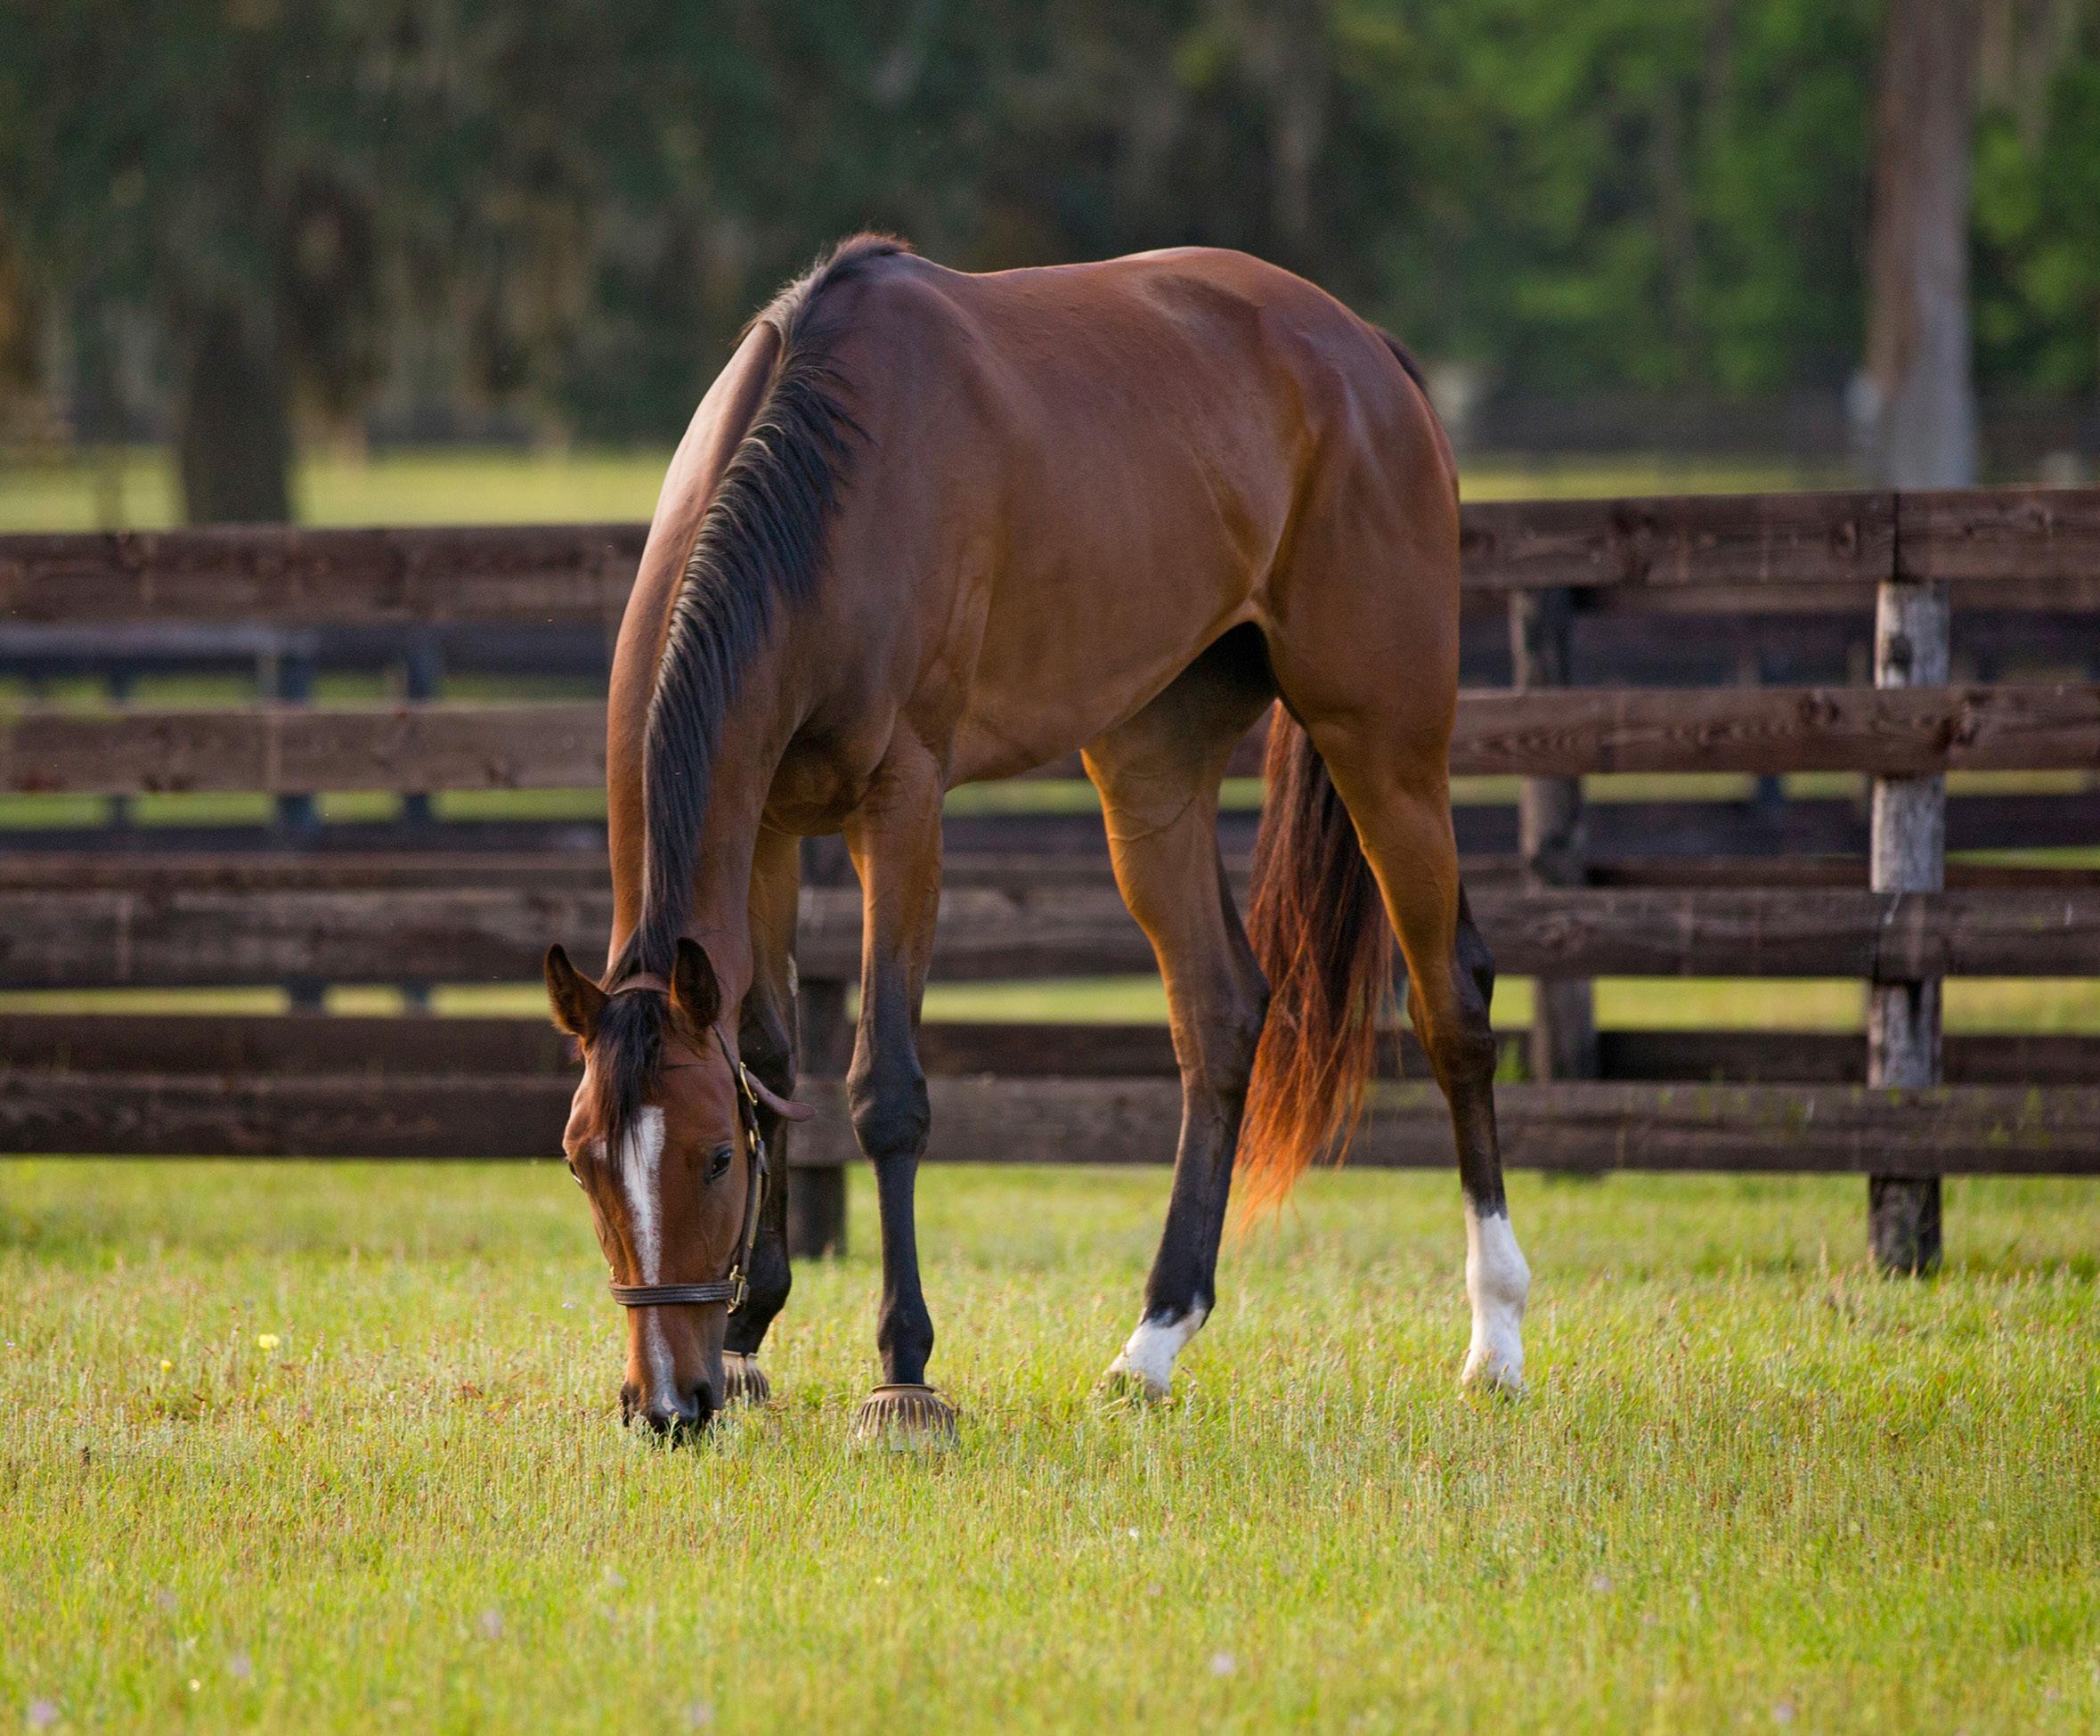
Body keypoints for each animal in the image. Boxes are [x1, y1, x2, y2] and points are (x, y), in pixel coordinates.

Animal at [543, 234, 1529, 1439]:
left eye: (715, 1158)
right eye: (583, 1163)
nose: (665, 1402)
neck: (830, 483)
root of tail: (1366, 354)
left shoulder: (902, 807)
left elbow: (885, 1090)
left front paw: (903, 1371)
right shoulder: (766, 825)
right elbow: (771, 1058)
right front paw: (748, 1337)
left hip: (1385, 743)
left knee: (1453, 1008)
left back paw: (1495, 1338)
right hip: (1151, 767)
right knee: (1219, 1015)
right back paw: (1151, 1343)